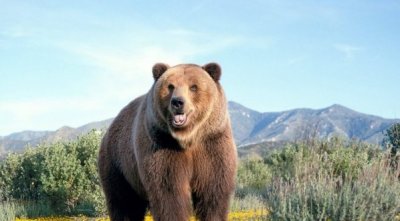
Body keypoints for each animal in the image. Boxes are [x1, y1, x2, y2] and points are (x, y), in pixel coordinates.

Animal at [98, 62, 238, 221]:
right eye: (170, 86)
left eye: (193, 87)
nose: (177, 102)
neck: (188, 138)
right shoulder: (162, 145)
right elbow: (169, 192)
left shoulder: (212, 144)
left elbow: (213, 192)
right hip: (118, 165)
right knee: (123, 202)